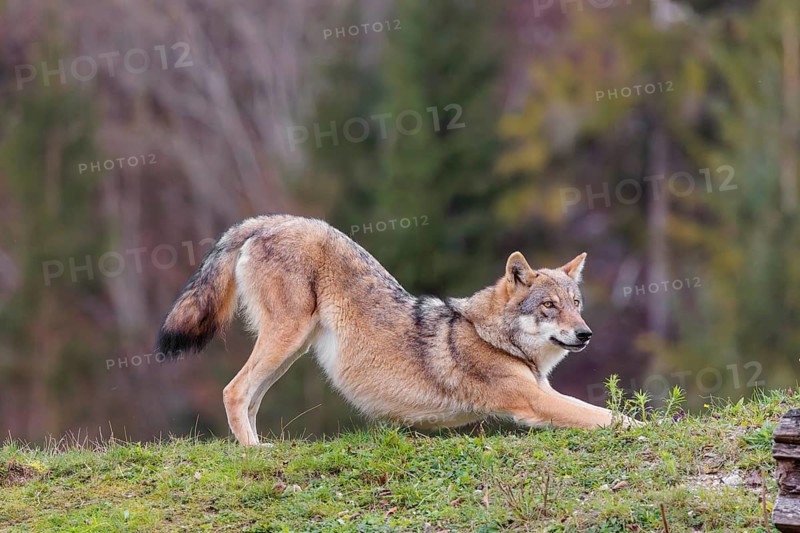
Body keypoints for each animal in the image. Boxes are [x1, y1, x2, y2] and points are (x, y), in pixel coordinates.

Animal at [156, 214, 630, 446]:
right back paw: (254, 452)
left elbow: (602, 412)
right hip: (285, 340)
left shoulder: (543, 393)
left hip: (290, 350)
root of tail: (269, 221)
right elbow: (606, 416)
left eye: (575, 304)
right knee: (233, 391)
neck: (489, 335)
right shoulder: (533, 401)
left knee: (250, 397)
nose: (585, 334)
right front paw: (641, 426)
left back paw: (258, 447)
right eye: (549, 307)